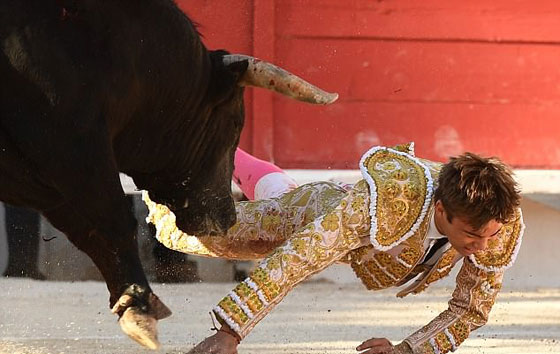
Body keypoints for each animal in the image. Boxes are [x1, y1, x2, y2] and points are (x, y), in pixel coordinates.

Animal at [0, 0, 336, 348]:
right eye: (234, 123)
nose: (227, 216)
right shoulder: (73, 148)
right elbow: (113, 220)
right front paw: (139, 306)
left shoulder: (41, 174)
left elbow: (89, 230)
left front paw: (131, 303)